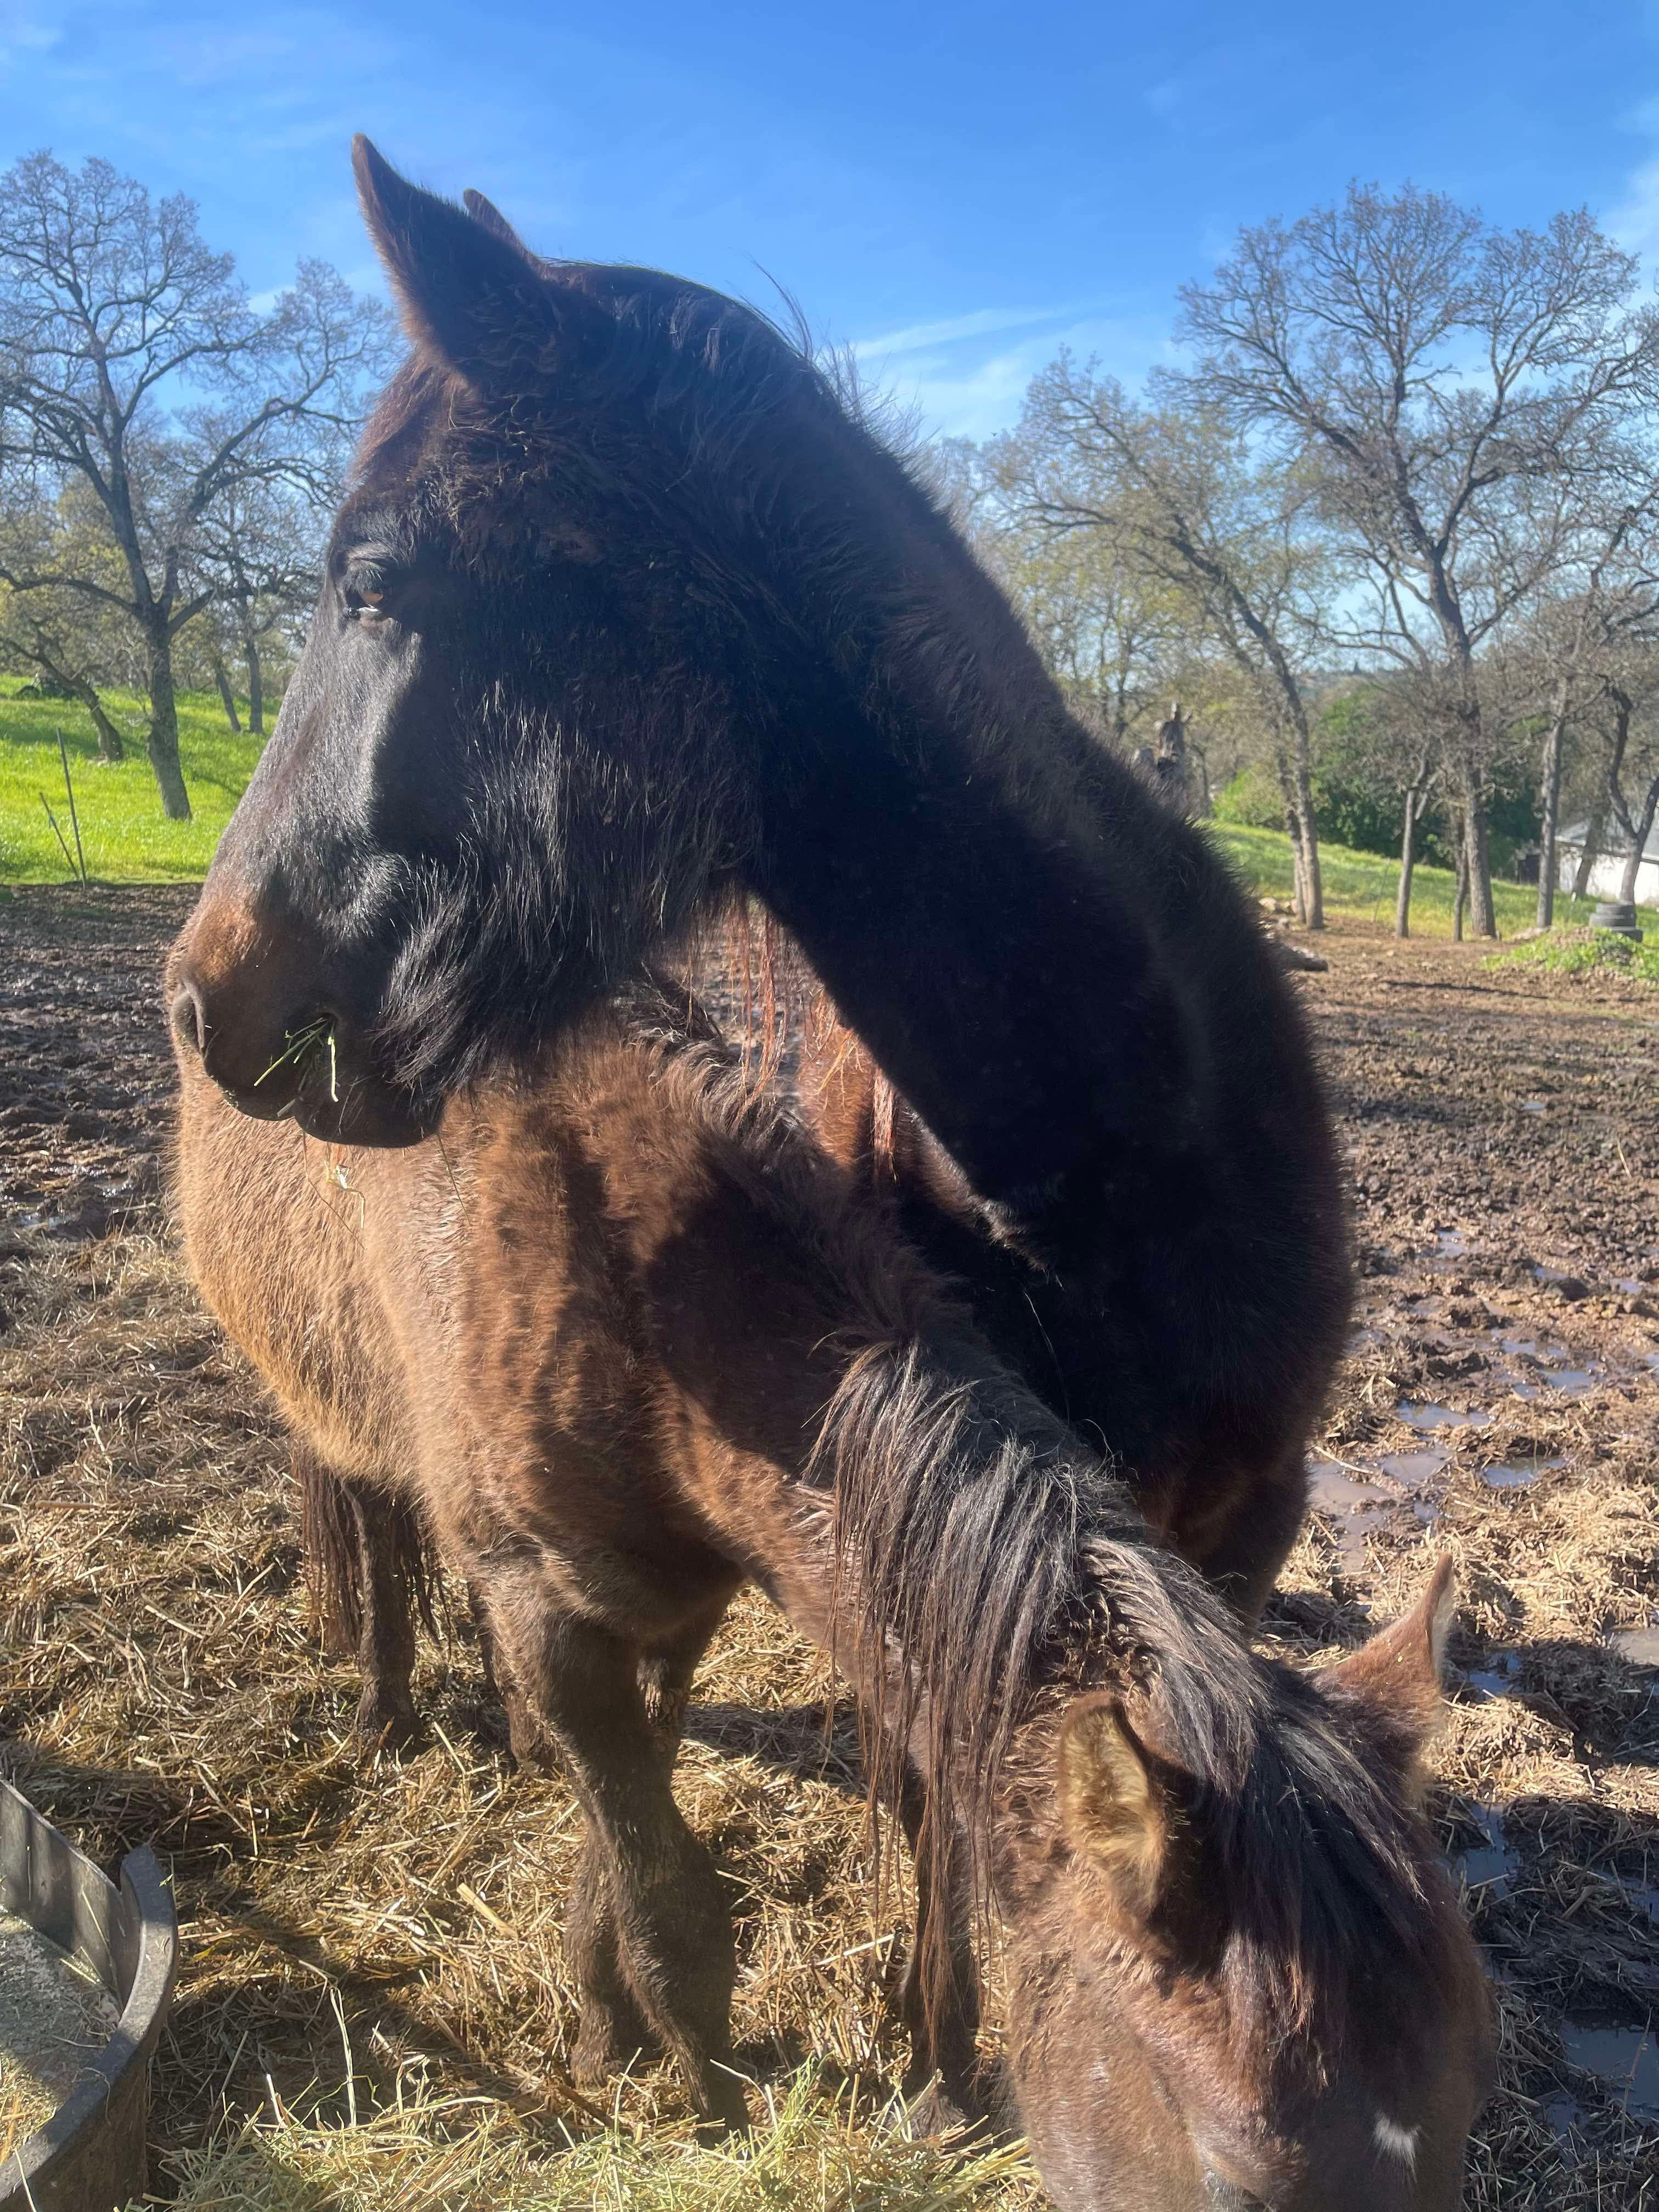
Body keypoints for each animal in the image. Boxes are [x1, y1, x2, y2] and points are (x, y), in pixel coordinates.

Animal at [171, 977, 1493, 2207]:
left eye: (1450, 2136)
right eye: (1234, 2184)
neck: (636, 1279)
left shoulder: (676, 1605)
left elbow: (629, 1828)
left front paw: (604, 2012)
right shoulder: (547, 1607)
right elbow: (670, 1899)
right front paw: (698, 2093)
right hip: (315, 1395)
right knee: (371, 1533)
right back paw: (380, 1712)